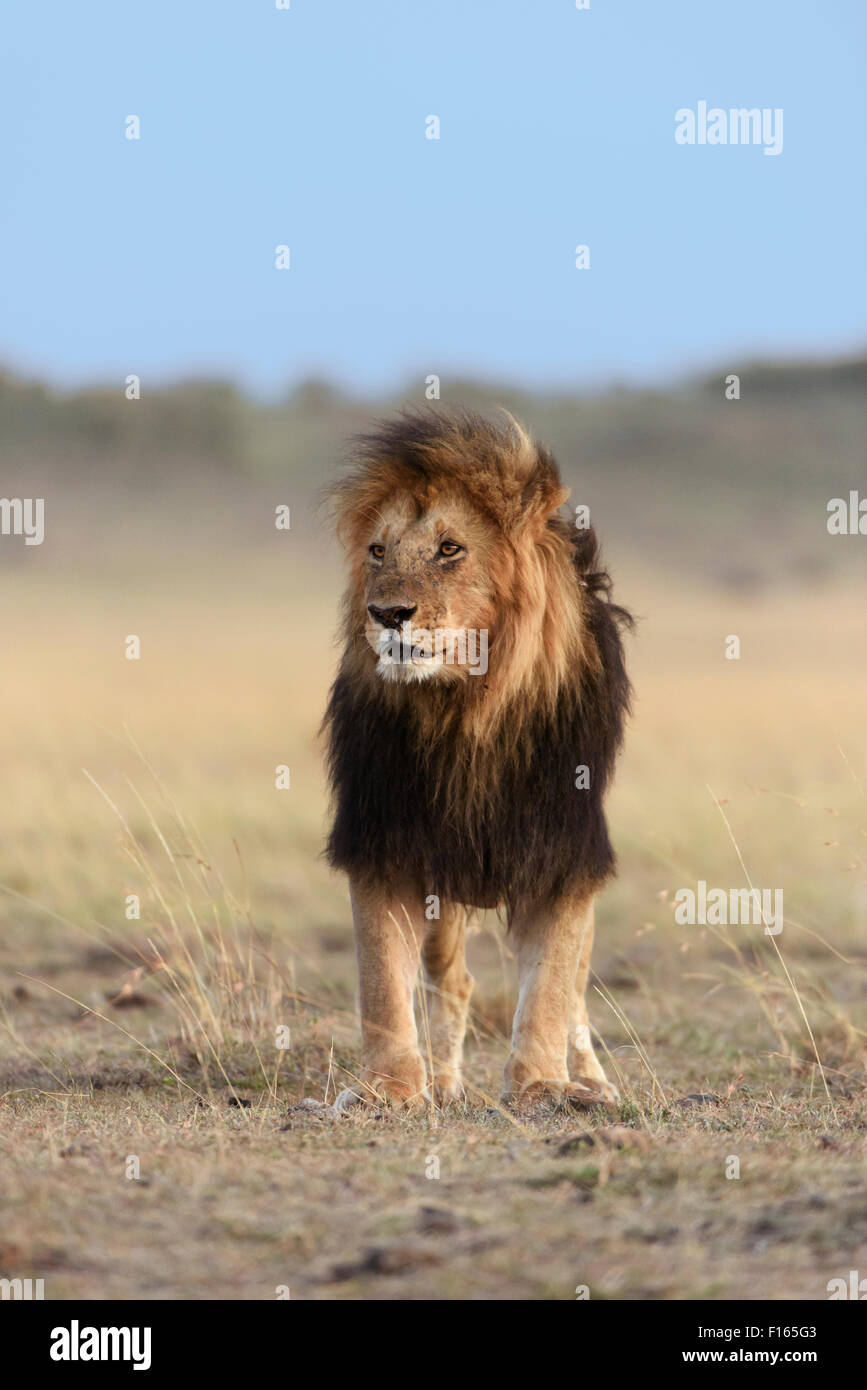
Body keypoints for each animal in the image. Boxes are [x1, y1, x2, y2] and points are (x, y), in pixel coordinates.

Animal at [322, 405, 633, 1112]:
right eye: (378, 551)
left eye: (450, 549)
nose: (387, 612)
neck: (464, 710)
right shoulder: (385, 843)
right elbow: (382, 983)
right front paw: (390, 1090)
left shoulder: (567, 852)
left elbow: (551, 989)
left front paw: (542, 1086)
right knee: (452, 981)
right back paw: (442, 1082)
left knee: (577, 989)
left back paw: (591, 1081)